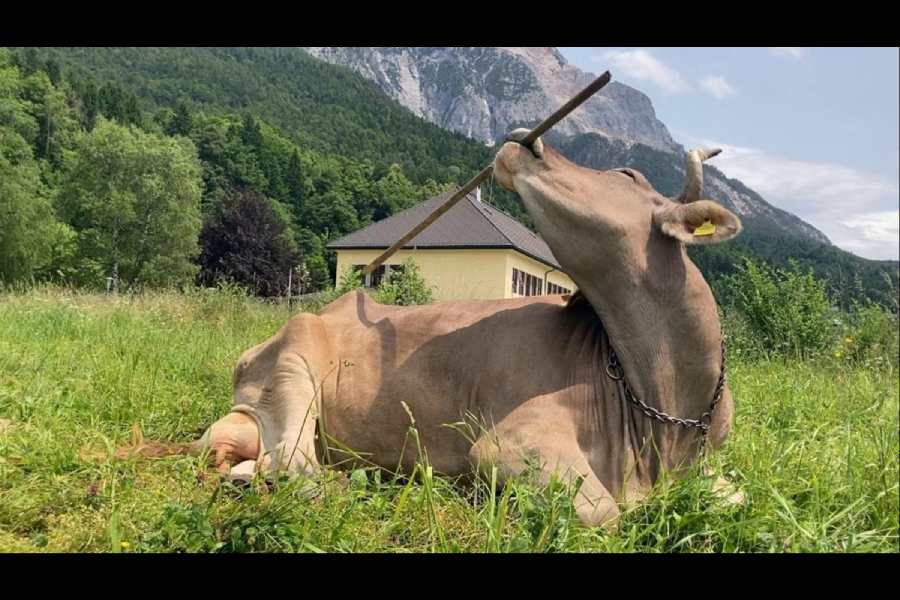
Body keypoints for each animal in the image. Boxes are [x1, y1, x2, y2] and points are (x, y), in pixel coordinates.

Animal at [134, 129, 743, 528]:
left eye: (625, 174)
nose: (524, 139)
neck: (665, 413)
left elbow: (734, 497)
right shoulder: (510, 442)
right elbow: (605, 513)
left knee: (258, 462)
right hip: (291, 369)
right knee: (294, 466)